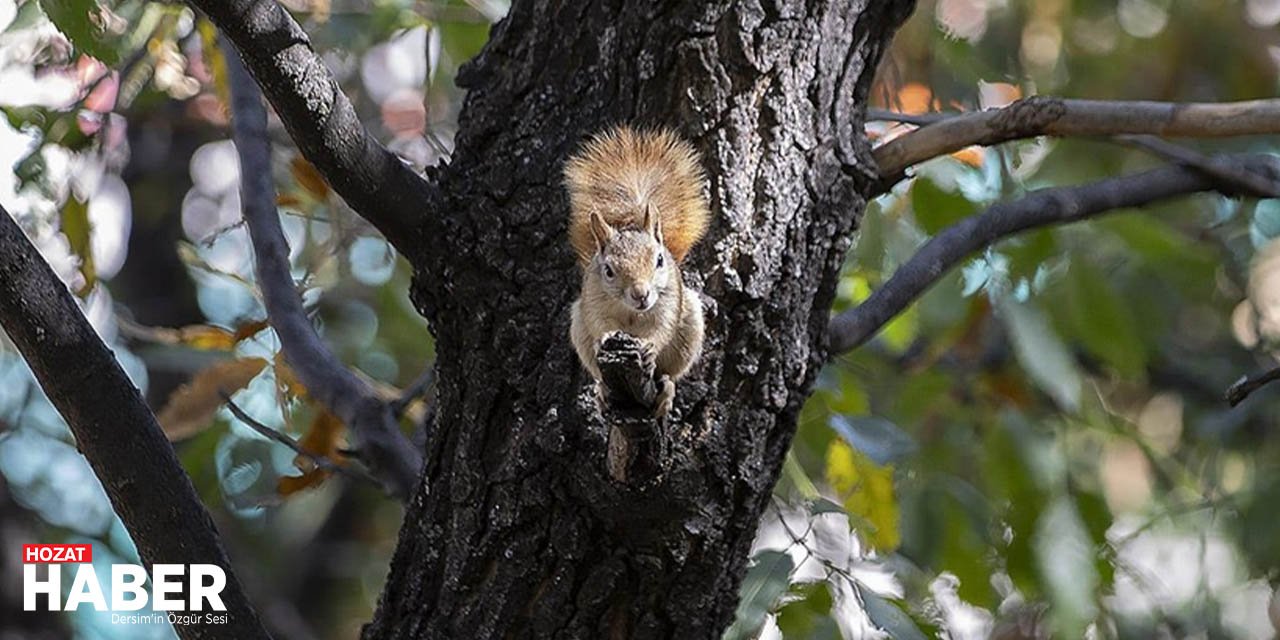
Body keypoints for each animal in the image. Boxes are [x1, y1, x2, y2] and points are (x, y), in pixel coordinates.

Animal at [565, 126, 711, 417]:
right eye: (608, 270)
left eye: (659, 260)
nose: (641, 294)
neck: (632, 312)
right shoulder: (593, 299)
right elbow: (599, 322)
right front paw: (606, 336)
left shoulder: (669, 300)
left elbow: (663, 327)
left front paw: (651, 346)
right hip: (579, 329)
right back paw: (602, 390)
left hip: (689, 331)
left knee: (668, 374)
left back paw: (666, 390)